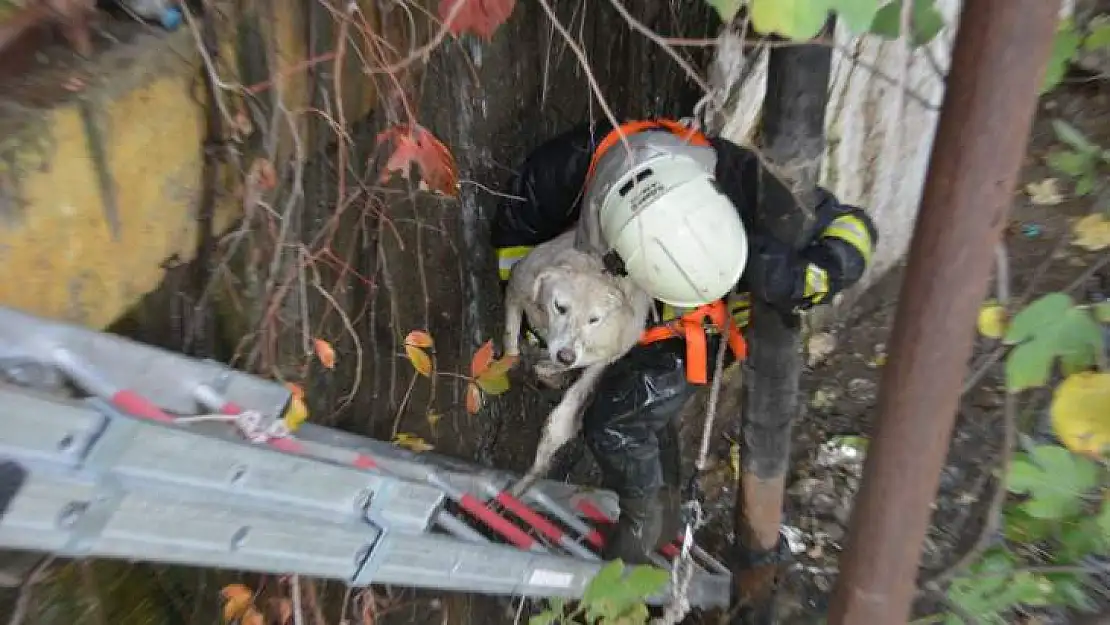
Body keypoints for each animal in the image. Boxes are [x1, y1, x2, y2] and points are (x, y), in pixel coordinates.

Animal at [503, 229, 648, 499]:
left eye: (594, 319)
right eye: (560, 307)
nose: (565, 355)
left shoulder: (604, 348)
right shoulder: (516, 288)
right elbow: (510, 333)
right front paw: (508, 361)